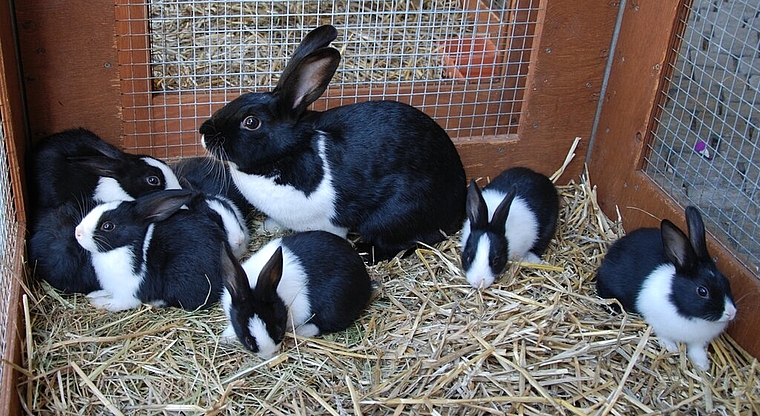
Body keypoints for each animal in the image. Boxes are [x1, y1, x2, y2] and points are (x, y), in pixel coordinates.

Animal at [74, 190, 229, 310]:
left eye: (108, 226)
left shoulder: (129, 292)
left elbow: (118, 304)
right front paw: (95, 294)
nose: (77, 232)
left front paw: (99, 303)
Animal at [199, 23, 466, 264]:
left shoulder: (326, 221)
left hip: (396, 214)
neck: (286, 155)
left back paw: (365, 252)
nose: (203, 132)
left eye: (251, 122)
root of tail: (457, 208)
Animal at [218, 231, 372, 358]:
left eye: (279, 331)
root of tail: (365, 281)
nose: (270, 355)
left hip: (334, 306)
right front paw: (226, 337)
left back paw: (302, 331)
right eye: (248, 341)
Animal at [596, 206, 740, 370]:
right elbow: (663, 335)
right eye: (702, 291)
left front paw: (702, 365)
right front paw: (671, 347)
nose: (731, 313)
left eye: (726, 281)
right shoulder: (657, 322)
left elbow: (696, 348)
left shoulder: (698, 340)